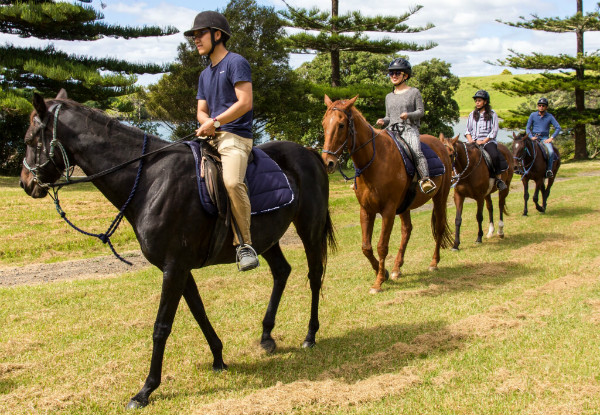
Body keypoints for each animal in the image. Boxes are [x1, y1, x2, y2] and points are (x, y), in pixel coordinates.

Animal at [322, 95, 452, 294]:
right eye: (323, 124)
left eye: (341, 125)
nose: (327, 162)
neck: (375, 161)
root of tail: (441, 146)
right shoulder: (366, 210)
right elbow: (366, 247)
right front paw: (383, 272)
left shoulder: (388, 211)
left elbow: (381, 246)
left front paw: (378, 282)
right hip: (406, 206)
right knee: (407, 230)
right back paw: (397, 268)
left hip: (440, 198)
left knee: (439, 227)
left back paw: (433, 262)